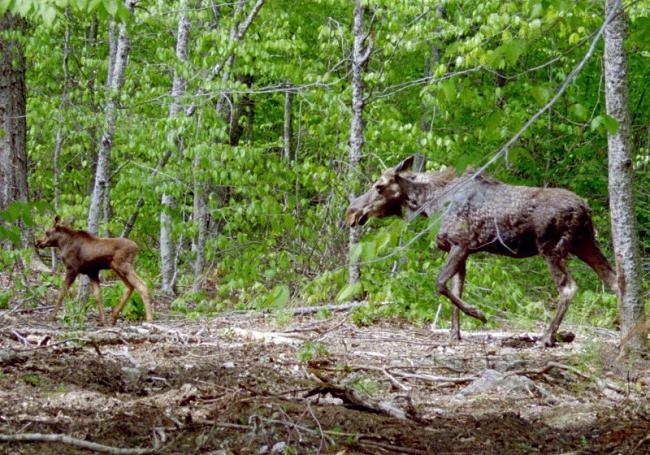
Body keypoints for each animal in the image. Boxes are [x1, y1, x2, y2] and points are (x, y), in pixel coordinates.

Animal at [344, 155, 616, 348]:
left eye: (379, 186)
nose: (352, 212)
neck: (429, 203)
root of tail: (585, 209)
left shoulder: (461, 244)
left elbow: (440, 283)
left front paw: (479, 315)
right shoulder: (462, 250)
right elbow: (455, 289)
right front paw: (454, 335)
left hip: (552, 247)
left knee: (569, 287)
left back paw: (546, 337)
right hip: (584, 243)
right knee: (615, 280)